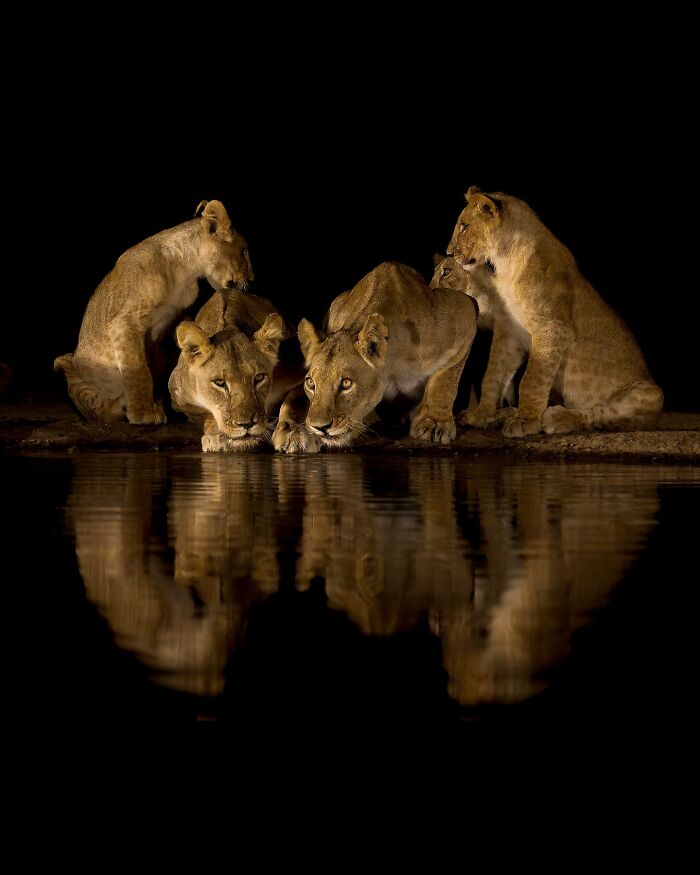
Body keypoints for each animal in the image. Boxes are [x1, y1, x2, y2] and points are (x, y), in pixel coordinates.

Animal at [54, 200, 253, 425]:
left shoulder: (175, 317)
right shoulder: (124, 323)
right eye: (243, 250)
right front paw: (143, 413)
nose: (252, 280)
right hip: (72, 370)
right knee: (99, 411)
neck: (185, 271)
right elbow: (138, 369)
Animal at [168, 289, 304, 452]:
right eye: (219, 382)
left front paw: (293, 432)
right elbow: (206, 413)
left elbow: (296, 400)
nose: (247, 424)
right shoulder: (178, 396)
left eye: (259, 378)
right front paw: (216, 437)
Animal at [272, 261, 478, 452]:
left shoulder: (465, 311)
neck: (392, 366)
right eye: (311, 383)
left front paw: (434, 422)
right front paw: (296, 431)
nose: (319, 427)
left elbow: (445, 381)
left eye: (346, 383)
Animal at [446, 187, 663, 436]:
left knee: (596, 414)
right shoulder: (509, 332)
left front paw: (525, 420)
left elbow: (531, 379)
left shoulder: (552, 328)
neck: (504, 264)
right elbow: (493, 375)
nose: (449, 252)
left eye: (464, 226)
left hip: (651, 394)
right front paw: (481, 416)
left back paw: (558, 417)